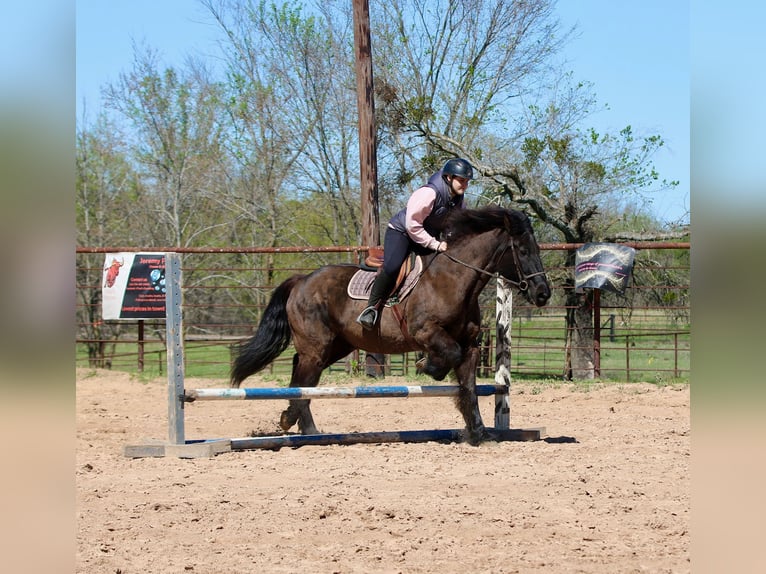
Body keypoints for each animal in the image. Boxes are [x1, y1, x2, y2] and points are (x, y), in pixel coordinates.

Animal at [231, 206, 551, 445]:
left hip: (335, 347)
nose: (543, 294)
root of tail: (300, 280)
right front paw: (427, 366)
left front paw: (478, 433)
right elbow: (448, 357)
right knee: (304, 380)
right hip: (317, 348)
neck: (455, 279)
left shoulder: (470, 345)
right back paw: (295, 423)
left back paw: (304, 427)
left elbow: (468, 387)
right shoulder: (426, 332)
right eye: (522, 251)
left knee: (303, 376)